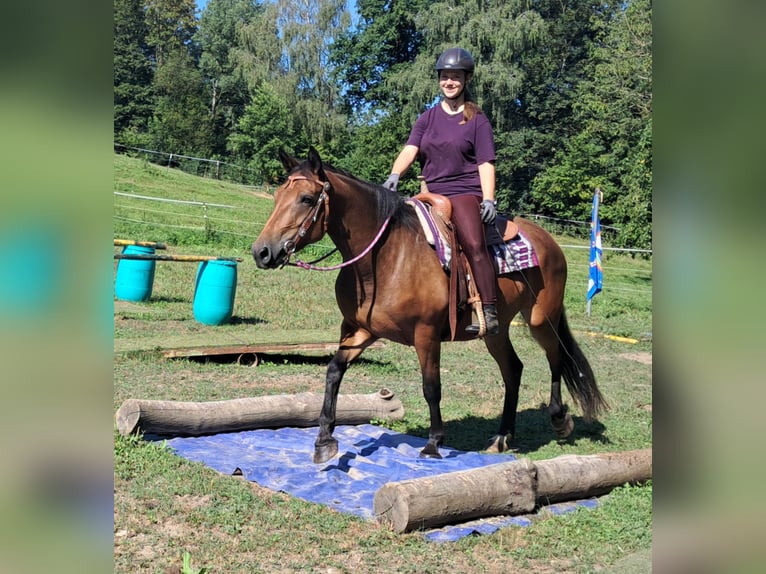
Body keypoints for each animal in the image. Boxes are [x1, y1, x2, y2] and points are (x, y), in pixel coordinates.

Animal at [252, 147, 607, 464]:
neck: (385, 258)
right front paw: (324, 440)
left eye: (306, 199)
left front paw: (434, 442)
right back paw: (502, 437)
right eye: (277, 196)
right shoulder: (360, 330)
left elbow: (431, 386)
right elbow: (333, 372)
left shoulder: (426, 334)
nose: (262, 252)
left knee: (556, 357)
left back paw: (559, 419)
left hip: (540, 318)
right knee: (513, 369)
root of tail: (549, 241)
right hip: (495, 330)